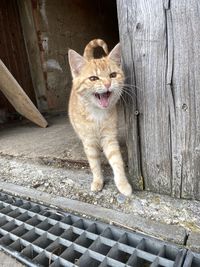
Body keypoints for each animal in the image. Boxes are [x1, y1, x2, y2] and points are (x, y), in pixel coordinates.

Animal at [68, 39, 132, 197]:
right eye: (93, 78)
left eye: (113, 75)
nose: (108, 84)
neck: (97, 114)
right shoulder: (89, 141)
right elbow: (94, 164)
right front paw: (98, 181)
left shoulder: (109, 138)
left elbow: (116, 161)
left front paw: (123, 184)